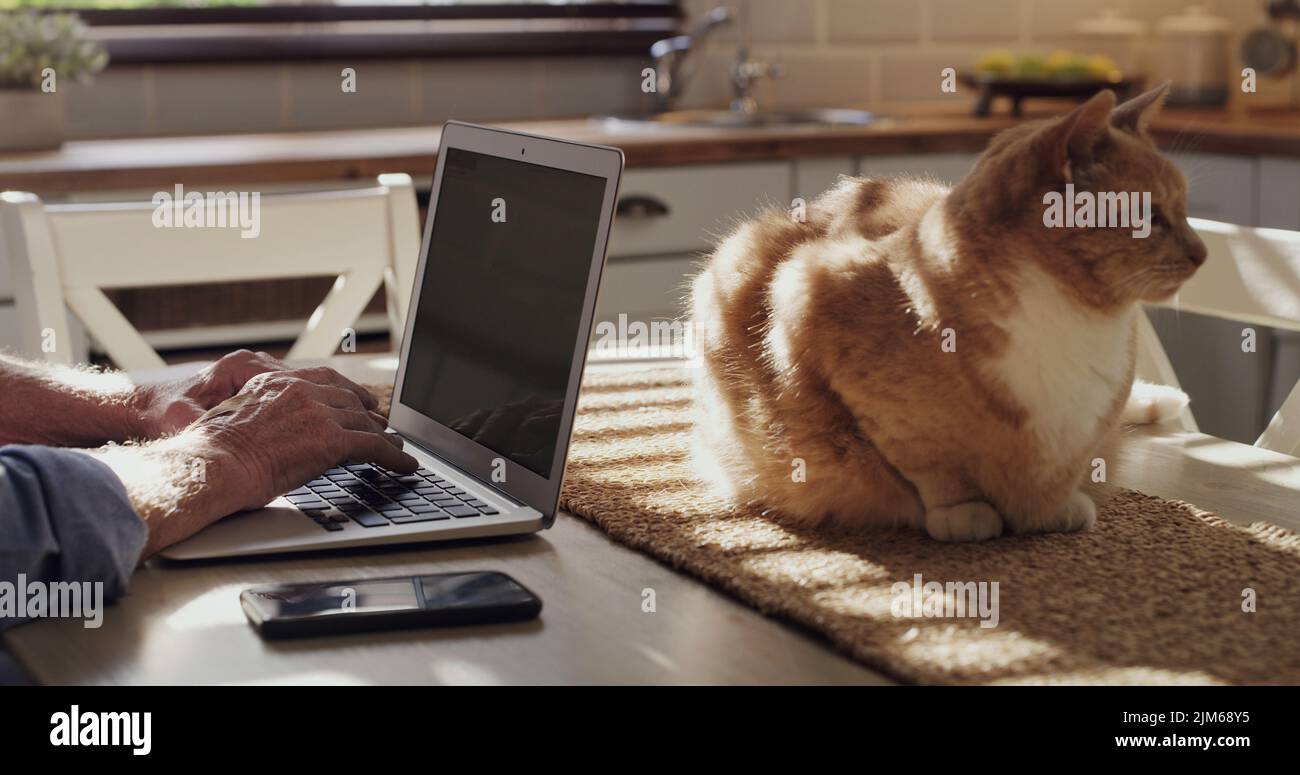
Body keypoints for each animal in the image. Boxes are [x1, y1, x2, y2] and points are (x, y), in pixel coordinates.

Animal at [696, 84, 1201, 540]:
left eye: (1185, 208)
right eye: (1150, 217)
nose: (1204, 252)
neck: (1074, 324)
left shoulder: (1091, 423)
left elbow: (1072, 465)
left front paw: (1055, 507)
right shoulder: (807, 296)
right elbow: (930, 469)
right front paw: (966, 513)